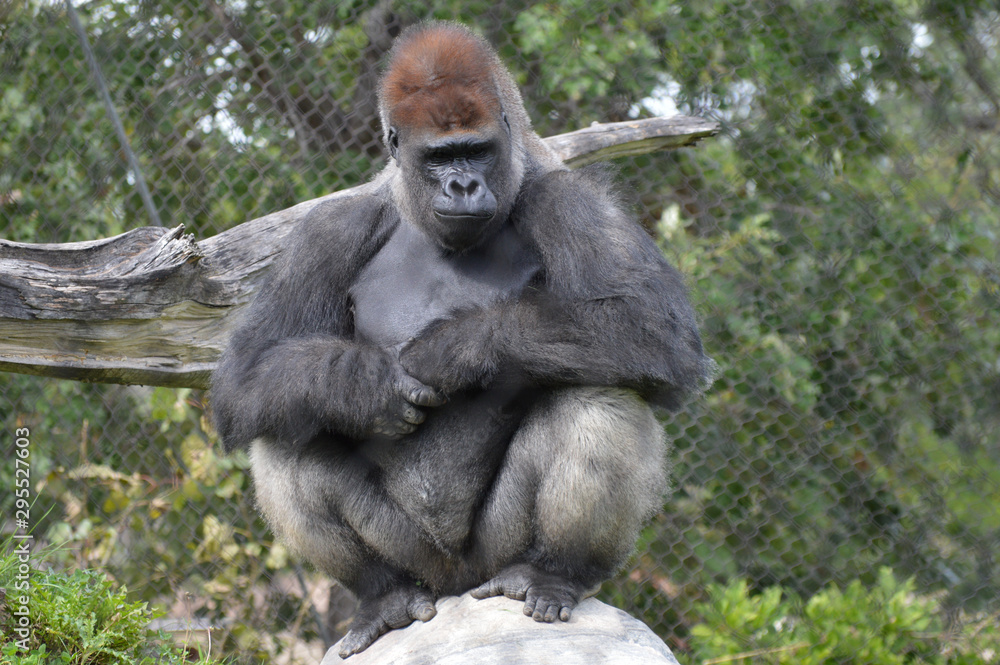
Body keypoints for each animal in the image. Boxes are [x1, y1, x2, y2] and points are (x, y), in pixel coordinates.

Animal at [210, 21, 711, 657]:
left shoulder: (572, 200)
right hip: (417, 559)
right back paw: (382, 596)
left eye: (476, 150)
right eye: (439, 157)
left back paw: (553, 573)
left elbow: (654, 330)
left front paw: (453, 351)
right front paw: (363, 386)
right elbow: (245, 376)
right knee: (285, 431)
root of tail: (454, 588)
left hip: (492, 557)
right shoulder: (328, 229)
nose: (464, 184)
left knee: (598, 398)